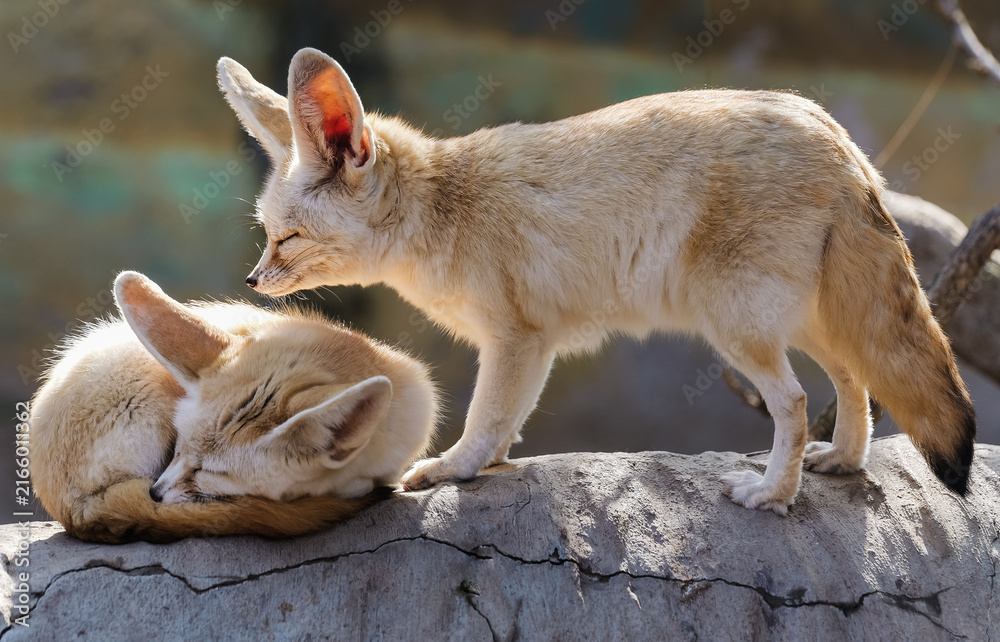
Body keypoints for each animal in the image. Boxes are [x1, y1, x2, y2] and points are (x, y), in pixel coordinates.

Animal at [217, 47, 976, 514]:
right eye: (266, 233)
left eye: (287, 238)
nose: (252, 280)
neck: (444, 211)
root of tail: (832, 131)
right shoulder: (534, 344)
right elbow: (508, 424)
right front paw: (484, 465)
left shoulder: (516, 339)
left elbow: (486, 418)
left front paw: (453, 468)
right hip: (808, 322)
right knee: (856, 381)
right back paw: (842, 461)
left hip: (737, 329)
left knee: (793, 401)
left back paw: (771, 496)